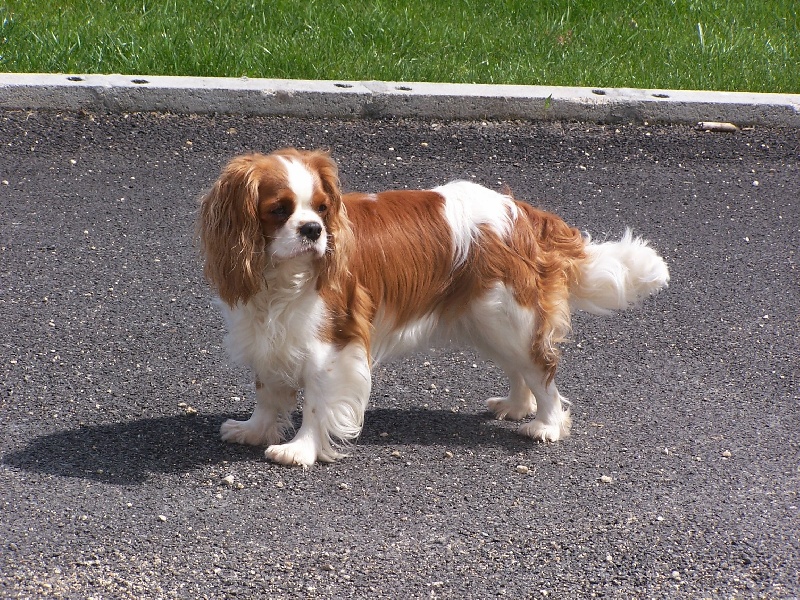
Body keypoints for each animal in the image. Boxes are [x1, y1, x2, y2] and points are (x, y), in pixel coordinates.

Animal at [198, 148, 669, 467]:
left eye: (322, 208)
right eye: (279, 210)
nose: (314, 230)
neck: (279, 277)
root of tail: (523, 213)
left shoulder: (332, 343)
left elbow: (316, 400)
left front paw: (300, 450)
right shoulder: (269, 333)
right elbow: (266, 390)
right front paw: (254, 430)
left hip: (509, 317)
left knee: (543, 372)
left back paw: (546, 425)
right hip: (488, 321)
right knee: (521, 370)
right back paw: (517, 406)